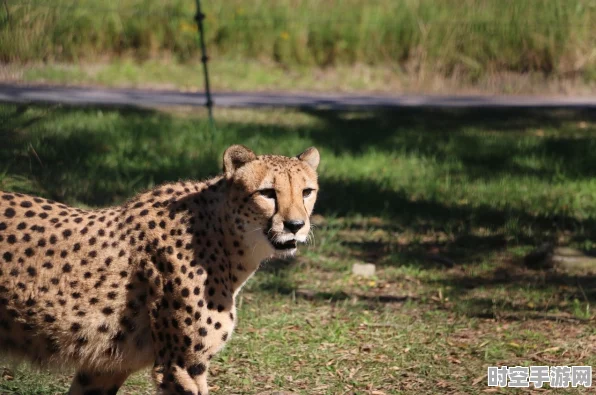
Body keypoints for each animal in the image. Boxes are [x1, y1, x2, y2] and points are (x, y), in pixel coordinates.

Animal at [0, 145, 322, 395]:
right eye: (267, 193)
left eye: (307, 191)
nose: (295, 225)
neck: (225, 236)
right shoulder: (180, 365)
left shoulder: (104, 367)